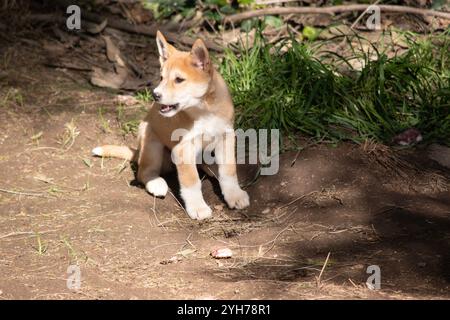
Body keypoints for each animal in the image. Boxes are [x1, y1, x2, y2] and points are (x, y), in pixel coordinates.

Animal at [92, 30, 250, 220]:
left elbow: (229, 171)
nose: (155, 95)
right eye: (161, 78)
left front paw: (234, 195)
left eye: (179, 80)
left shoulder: (226, 137)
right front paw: (197, 207)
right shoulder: (183, 148)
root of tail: (138, 151)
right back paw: (157, 184)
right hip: (152, 144)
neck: (203, 111)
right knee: (144, 171)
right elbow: (191, 181)